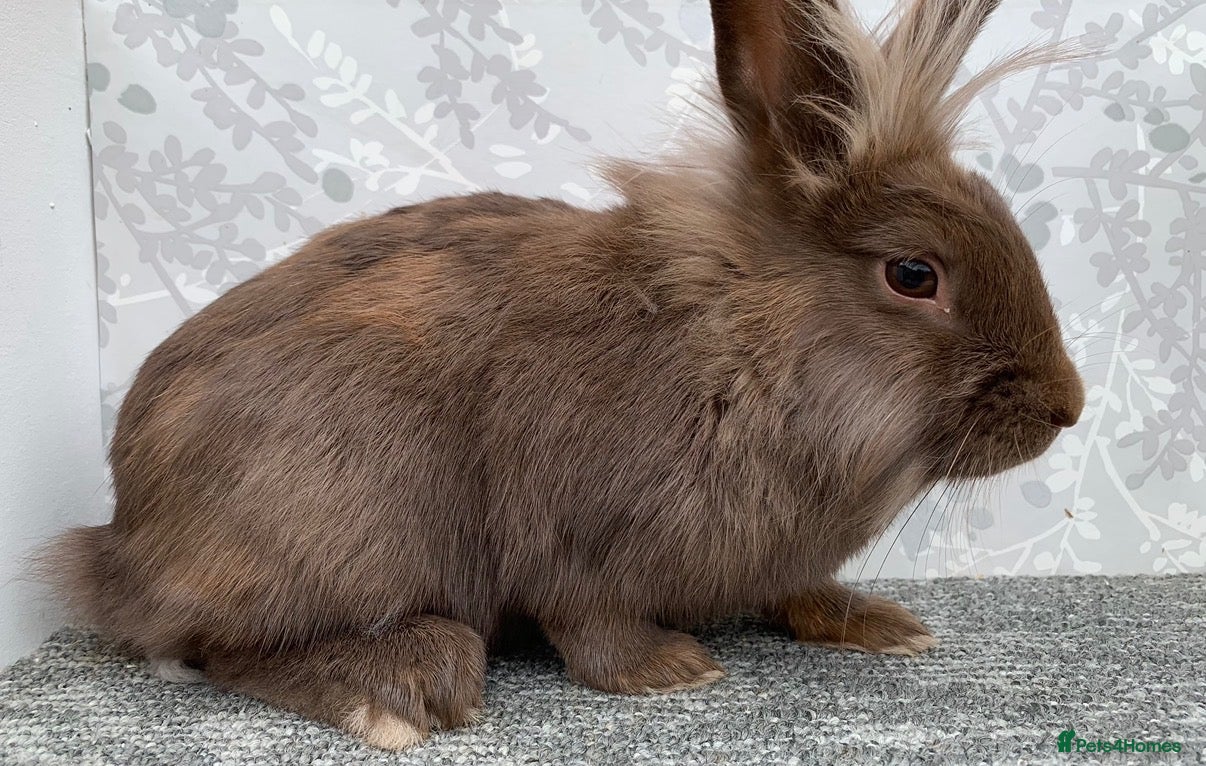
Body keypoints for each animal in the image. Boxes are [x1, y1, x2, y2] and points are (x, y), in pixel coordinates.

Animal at [48, 0, 1084, 751]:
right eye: (913, 274)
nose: (1068, 408)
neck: (745, 346)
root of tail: (120, 548)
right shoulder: (572, 533)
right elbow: (587, 618)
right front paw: (669, 670)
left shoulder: (775, 553)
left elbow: (800, 591)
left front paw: (885, 624)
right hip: (338, 526)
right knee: (222, 650)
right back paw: (399, 688)